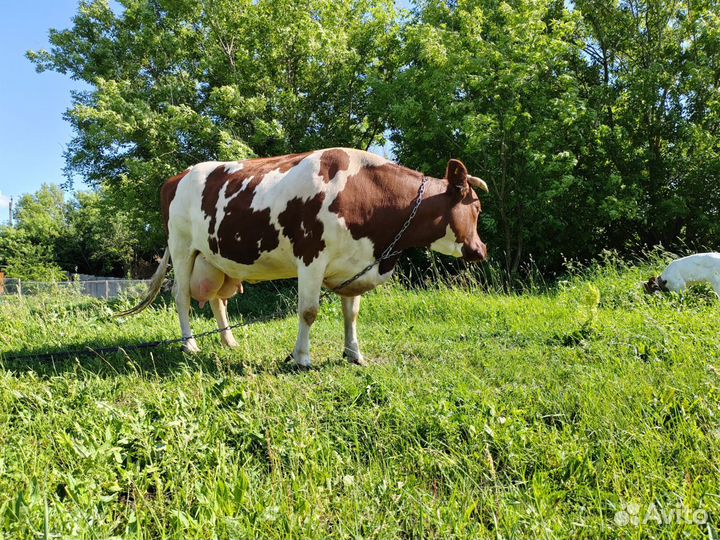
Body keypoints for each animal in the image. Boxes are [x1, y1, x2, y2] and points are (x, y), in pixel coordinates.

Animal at [119, 149, 490, 368]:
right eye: (477, 209)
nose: (482, 250)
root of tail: (177, 177)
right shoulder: (312, 258)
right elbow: (309, 311)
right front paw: (301, 358)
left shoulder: (354, 265)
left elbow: (352, 314)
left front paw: (354, 354)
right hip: (182, 248)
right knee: (181, 296)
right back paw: (190, 345)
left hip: (218, 259)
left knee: (217, 301)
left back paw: (229, 340)